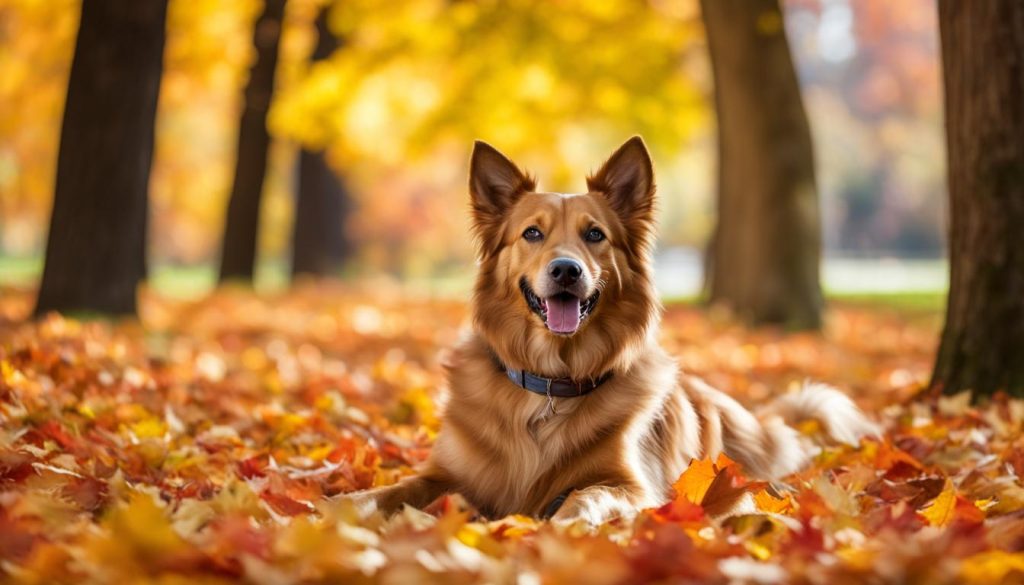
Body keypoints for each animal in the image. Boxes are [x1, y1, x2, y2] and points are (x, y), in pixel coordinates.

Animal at [354, 137, 880, 524]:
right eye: (532, 233)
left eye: (595, 235)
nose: (566, 270)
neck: (550, 386)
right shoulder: (445, 474)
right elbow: (394, 488)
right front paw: (343, 507)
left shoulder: (635, 484)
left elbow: (587, 495)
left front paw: (562, 522)